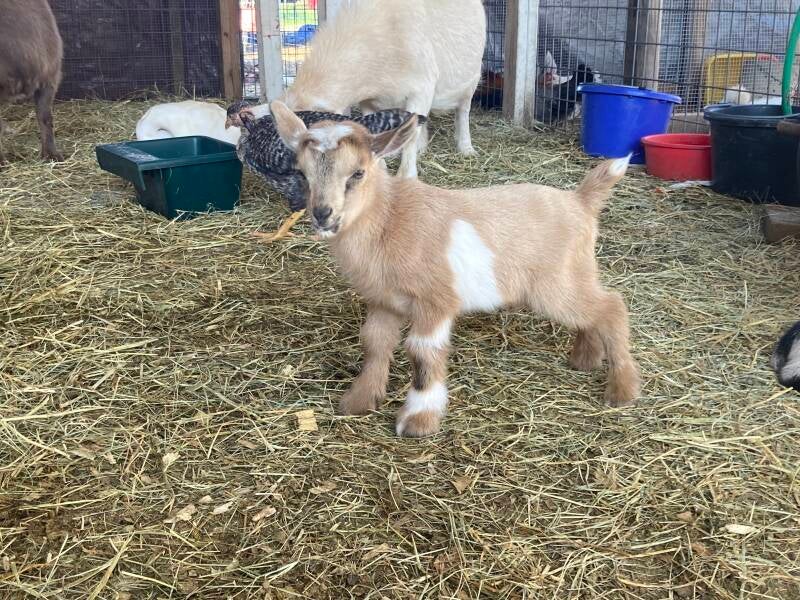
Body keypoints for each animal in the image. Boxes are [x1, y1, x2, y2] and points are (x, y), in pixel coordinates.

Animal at [270, 100, 642, 437]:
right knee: (593, 312)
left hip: (556, 284)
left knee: (612, 306)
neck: (389, 218)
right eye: (302, 173)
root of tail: (580, 201)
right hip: (574, 276)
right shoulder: (384, 301)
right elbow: (375, 343)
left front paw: (418, 421)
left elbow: (422, 353)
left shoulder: (436, 301)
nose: (322, 215)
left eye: (357, 173)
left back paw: (622, 390)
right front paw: (359, 400)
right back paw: (585, 359)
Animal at [280, 0, 486, 179]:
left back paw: (466, 147)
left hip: (472, 79)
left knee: (463, 112)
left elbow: (411, 135)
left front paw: (407, 176)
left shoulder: (422, 89)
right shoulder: (368, 101)